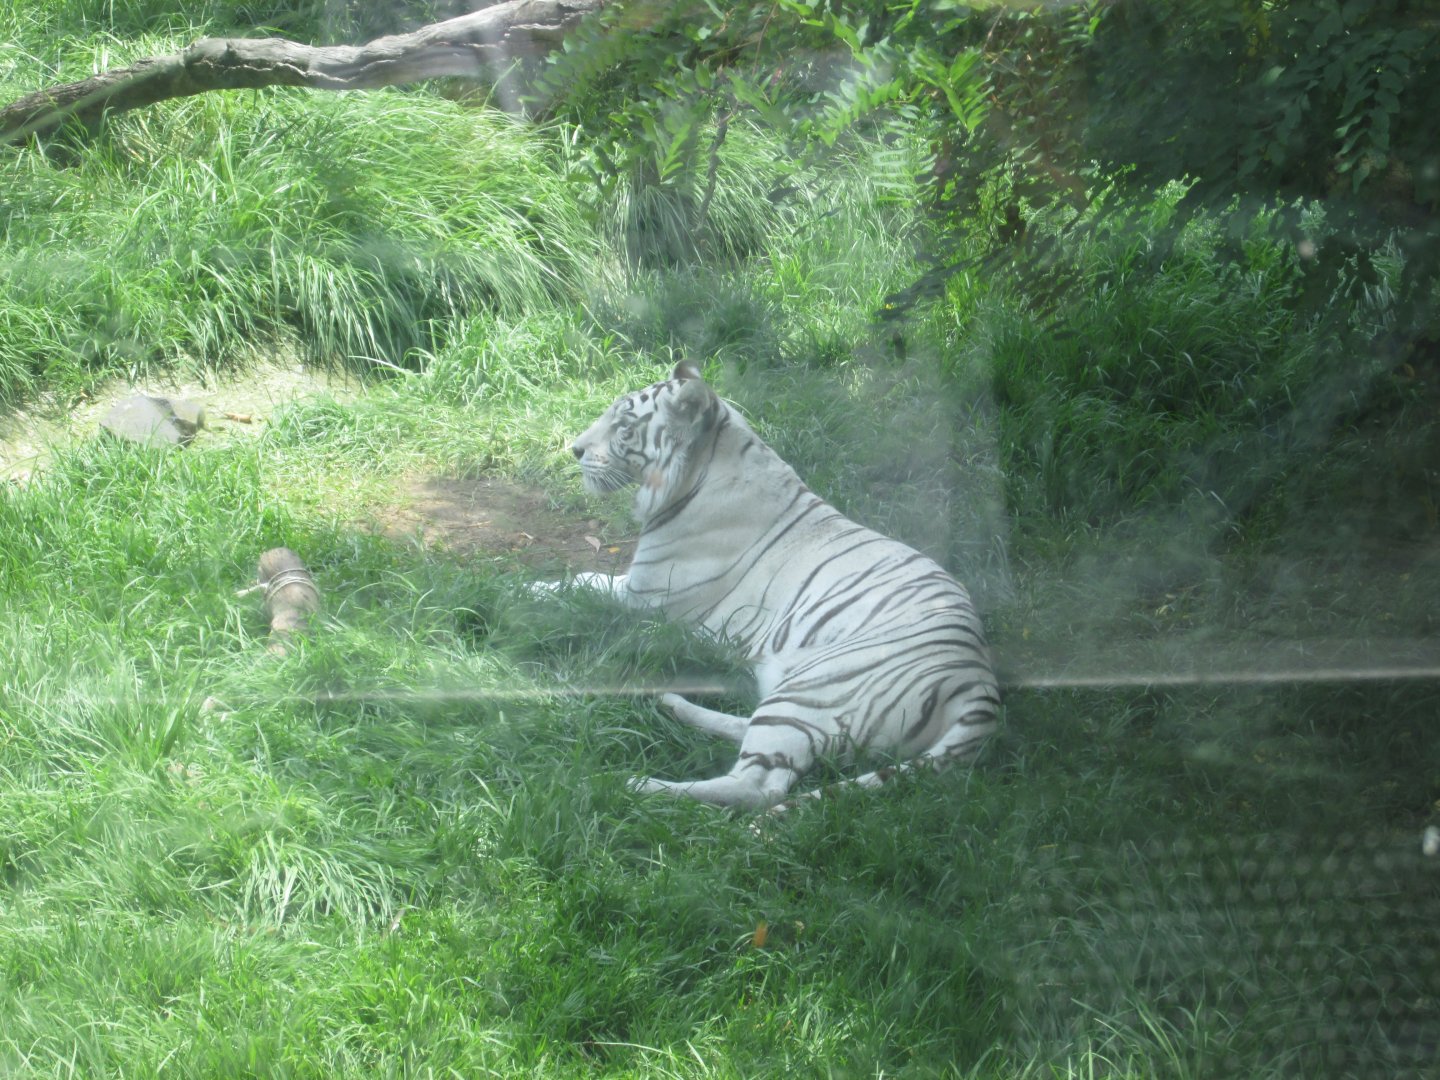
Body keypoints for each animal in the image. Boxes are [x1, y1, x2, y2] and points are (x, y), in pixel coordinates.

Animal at [552, 360, 1000, 809]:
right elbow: (579, 582)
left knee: (755, 786)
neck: (707, 462)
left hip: (808, 691)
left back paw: (627, 785)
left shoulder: (643, 597)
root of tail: (980, 681)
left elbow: (574, 586)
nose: (575, 450)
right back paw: (670, 702)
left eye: (624, 425)